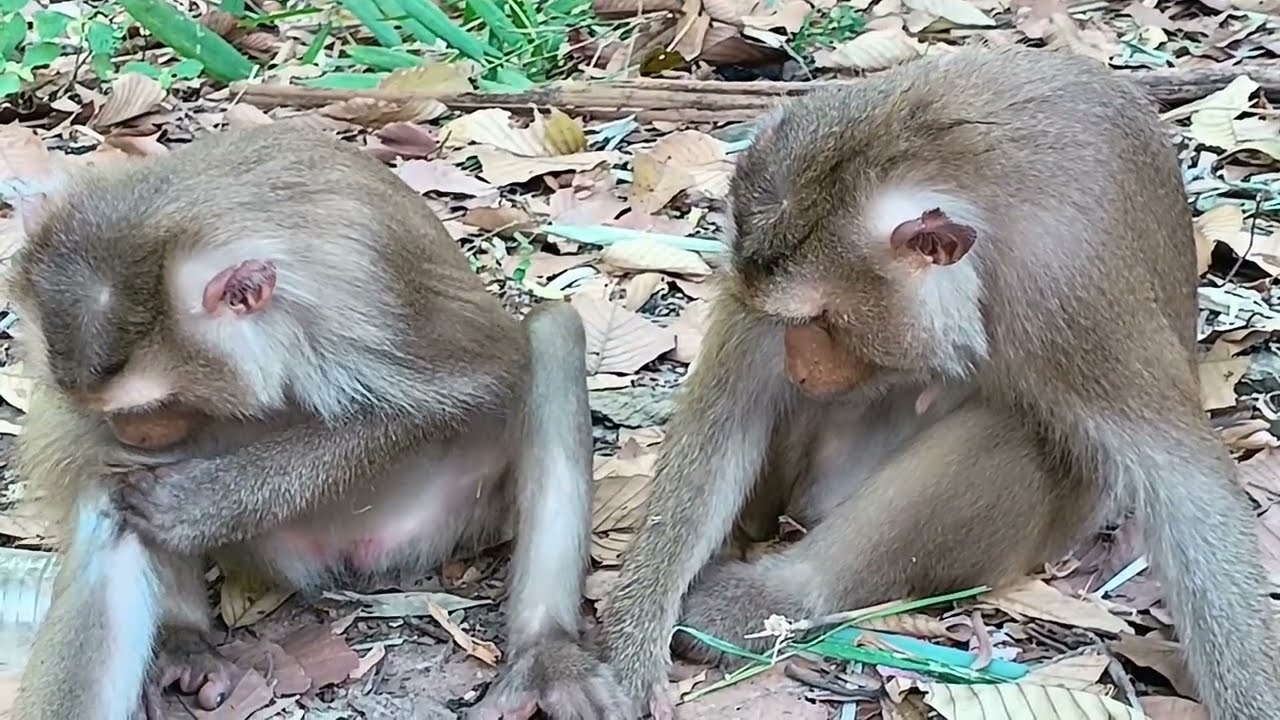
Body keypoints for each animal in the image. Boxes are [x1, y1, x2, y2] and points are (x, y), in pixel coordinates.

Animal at [5, 123, 634, 720]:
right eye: (121, 412)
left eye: (150, 406)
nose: (131, 434)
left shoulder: (369, 299)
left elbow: (446, 397)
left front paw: (202, 504)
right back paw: (185, 638)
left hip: (455, 514)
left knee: (551, 336)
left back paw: (545, 648)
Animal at [598, 45, 1280, 720]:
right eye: (787, 321)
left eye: (818, 320)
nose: (798, 366)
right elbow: (726, 421)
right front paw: (626, 655)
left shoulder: (1071, 286)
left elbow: (1185, 487)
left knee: (1022, 431)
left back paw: (786, 595)